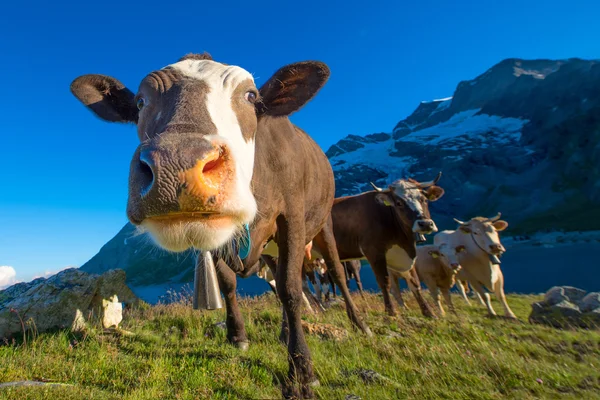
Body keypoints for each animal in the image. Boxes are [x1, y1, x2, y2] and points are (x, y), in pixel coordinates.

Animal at [70, 51, 370, 398]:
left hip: (323, 224)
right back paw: (284, 332)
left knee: (335, 272)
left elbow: (291, 289)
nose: (177, 165)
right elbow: (230, 284)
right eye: (140, 102)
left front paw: (302, 372)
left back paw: (359, 324)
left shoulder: (292, 216)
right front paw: (237, 336)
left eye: (251, 96)